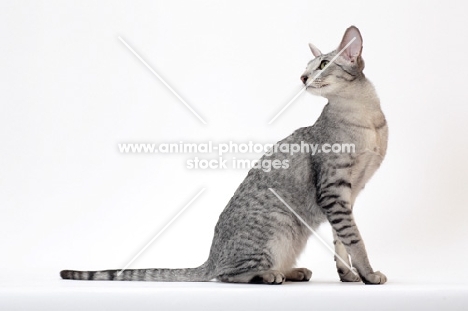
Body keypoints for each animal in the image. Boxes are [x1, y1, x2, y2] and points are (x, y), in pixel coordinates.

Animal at [61, 26, 388, 286]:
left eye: (322, 64)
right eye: (308, 66)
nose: (303, 76)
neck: (368, 120)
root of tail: (211, 256)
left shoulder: (347, 195)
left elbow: (341, 242)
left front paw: (349, 276)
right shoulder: (334, 191)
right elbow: (354, 239)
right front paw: (369, 274)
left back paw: (292, 271)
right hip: (280, 224)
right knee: (226, 274)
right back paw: (270, 274)